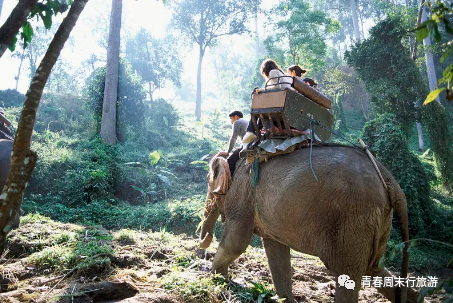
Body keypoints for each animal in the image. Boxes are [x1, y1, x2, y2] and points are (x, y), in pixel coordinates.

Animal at [200, 145, 418, 303]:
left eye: (208, 182)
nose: (204, 242)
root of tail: (390, 180)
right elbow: (275, 250)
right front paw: (284, 300)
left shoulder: (243, 195)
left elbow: (237, 242)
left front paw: (216, 279)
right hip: (377, 221)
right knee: (373, 268)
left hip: (353, 219)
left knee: (347, 271)